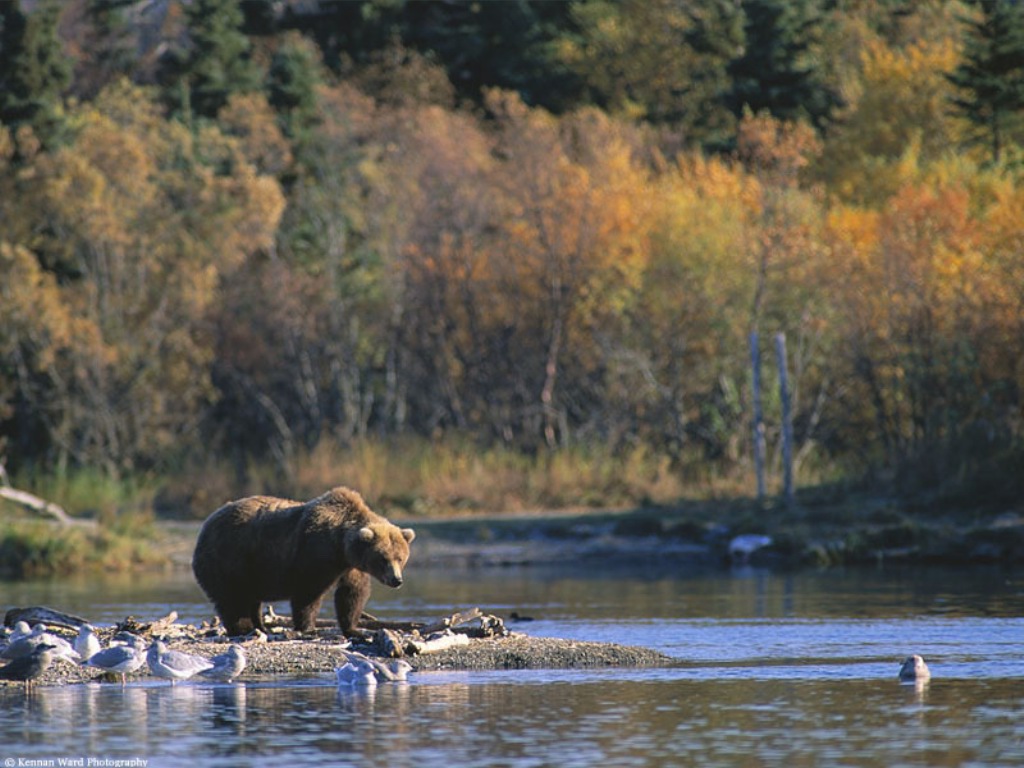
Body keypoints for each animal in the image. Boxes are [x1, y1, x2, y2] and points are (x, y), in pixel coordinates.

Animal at [191, 486, 414, 637]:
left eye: (400, 558)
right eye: (383, 558)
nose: (396, 580)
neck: (340, 545)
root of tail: (206, 523)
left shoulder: (350, 566)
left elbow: (352, 594)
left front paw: (354, 629)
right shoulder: (314, 553)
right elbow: (308, 593)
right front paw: (308, 627)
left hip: (250, 568)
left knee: (251, 598)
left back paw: (260, 626)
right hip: (229, 557)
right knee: (232, 597)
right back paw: (244, 628)